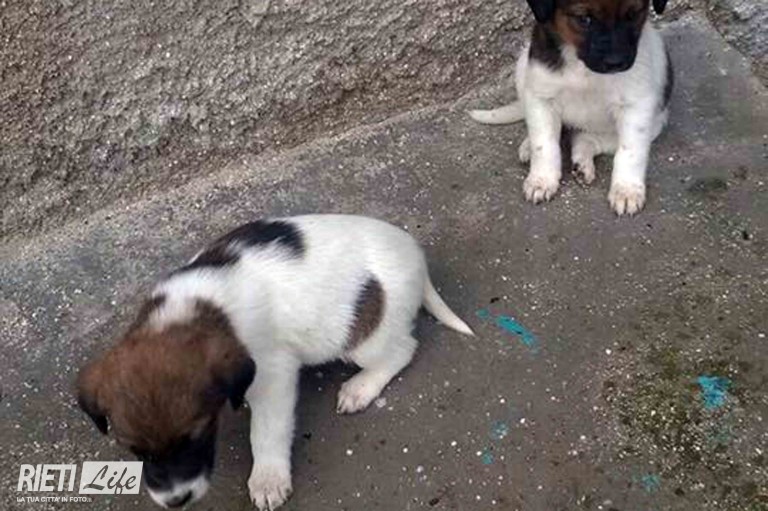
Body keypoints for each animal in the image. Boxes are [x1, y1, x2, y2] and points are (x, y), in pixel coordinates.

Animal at [76, 214, 473, 509]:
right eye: (135, 450)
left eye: (197, 435)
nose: (176, 500)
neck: (195, 313)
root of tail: (416, 255)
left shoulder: (272, 376)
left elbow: (267, 432)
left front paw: (268, 478)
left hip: (362, 338)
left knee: (403, 350)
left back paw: (361, 388)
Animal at [470, 0, 673, 215]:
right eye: (584, 19)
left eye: (633, 14)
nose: (616, 62)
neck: (583, 68)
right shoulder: (540, 95)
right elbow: (543, 144)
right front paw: (542, 179)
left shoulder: (637, 105)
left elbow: (630, 152)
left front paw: (626, 189)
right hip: (522, 69)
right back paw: (528, 146)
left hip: (654, 124)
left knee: (586, 138)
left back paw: (583, 161)